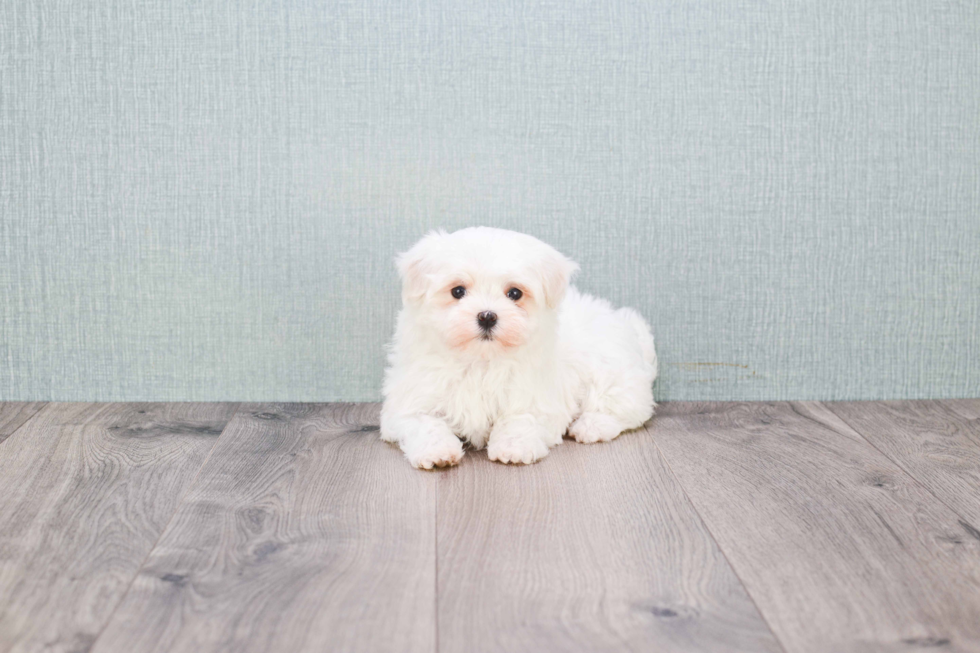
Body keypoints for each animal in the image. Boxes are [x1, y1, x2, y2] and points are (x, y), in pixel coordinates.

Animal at [378, 227, 656, 466]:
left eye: (514, 293)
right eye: (457, 291)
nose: (487, 316)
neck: (481, 361)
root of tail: (626, 322)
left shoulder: (537, 397)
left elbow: (520, 419)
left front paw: (513, 448)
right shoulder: (411, 400)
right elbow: (425, 423)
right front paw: (437, 452)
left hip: (610, 371)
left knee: (628, 408)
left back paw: (592, 426)